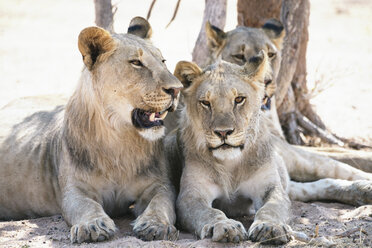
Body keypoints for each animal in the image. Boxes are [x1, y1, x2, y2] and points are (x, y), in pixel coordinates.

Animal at [0, 16, 182, 243]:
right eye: (136, 63)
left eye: (163, 61)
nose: (177, 89)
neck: (120, 140)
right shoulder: (74, 190)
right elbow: (86, 206)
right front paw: (93, 226)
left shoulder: (160, 184)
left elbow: (162, 204)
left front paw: (156, 225)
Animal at [169, 51, 372, 244]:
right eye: (205, 102)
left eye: (239, 99)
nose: (223, 132)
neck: (231, 164)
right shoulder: (190, 196)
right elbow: (209, 212)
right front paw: (225, 226)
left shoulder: (270, 187)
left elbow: (271, 209)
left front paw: (269, 228)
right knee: (319, 185)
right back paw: (361, 192)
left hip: (299, 161)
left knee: (338, 170)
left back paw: (365, 187)